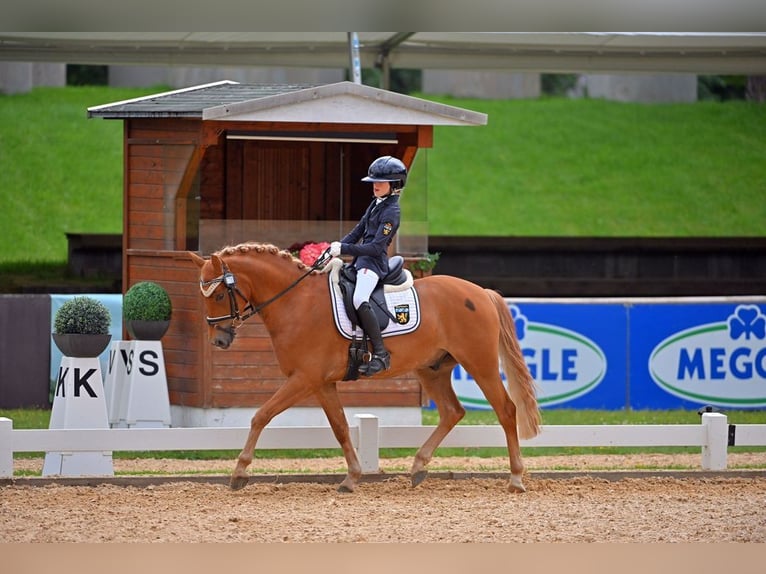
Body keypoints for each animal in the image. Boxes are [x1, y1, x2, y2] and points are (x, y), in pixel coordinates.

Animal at [189, 244, 544, 496]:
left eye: (218, 294)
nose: (219, 340)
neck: (296, 303)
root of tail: (480, 292)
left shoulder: (303, 379)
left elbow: (260, 416)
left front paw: (239, 473)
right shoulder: (321, 384)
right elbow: (341, 428)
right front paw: (352, 478)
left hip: (479, 364)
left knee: (506, 410)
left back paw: (515, 479)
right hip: (432, 369)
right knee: (452, 412)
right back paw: (418, 467)